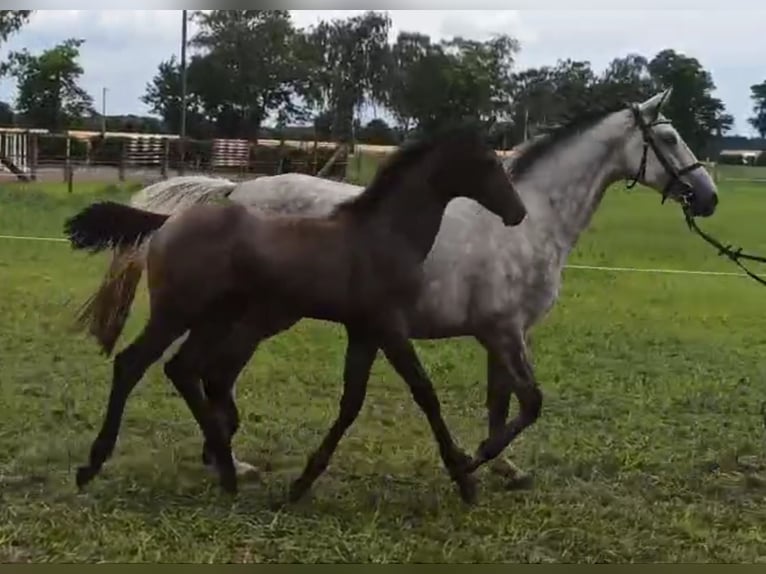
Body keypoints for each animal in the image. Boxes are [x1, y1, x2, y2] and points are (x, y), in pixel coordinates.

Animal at [78, 89, 720, 486]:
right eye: (668, 137)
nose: (708, 197)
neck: (532, 220)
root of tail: (234, 193)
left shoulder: (501, 333)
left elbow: (502, 401)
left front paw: (501, 471)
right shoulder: (504, 331)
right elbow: (527, 403)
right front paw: (473, 463)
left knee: (206, 374)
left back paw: (226, 461)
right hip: (251, 318)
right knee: (204, 374)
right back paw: (223, 461)